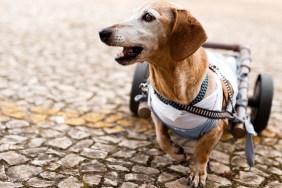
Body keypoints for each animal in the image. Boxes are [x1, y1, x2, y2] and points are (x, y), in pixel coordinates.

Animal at [99, 1, 231, 187]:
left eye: (148, 16)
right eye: (133, 13)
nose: (102, 32)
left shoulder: (218, 126)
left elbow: (202, 150)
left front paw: (198, 171)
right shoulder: (157, 115)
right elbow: (161, 138)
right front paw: (175, 152)